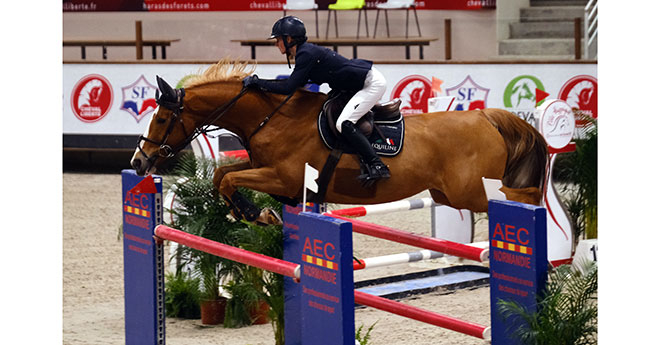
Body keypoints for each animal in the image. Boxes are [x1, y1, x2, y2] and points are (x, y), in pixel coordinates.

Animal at [131, 59, 548, 226]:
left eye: (163, 118)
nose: (138, 161)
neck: (271, 117)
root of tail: (485, 116)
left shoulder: (284, 176)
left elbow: (230, 178)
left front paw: (256, 214)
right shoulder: (265, 168)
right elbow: (223, 176)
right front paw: (256, 214)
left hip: (472, 191)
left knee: (524, 197)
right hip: (448, 194)